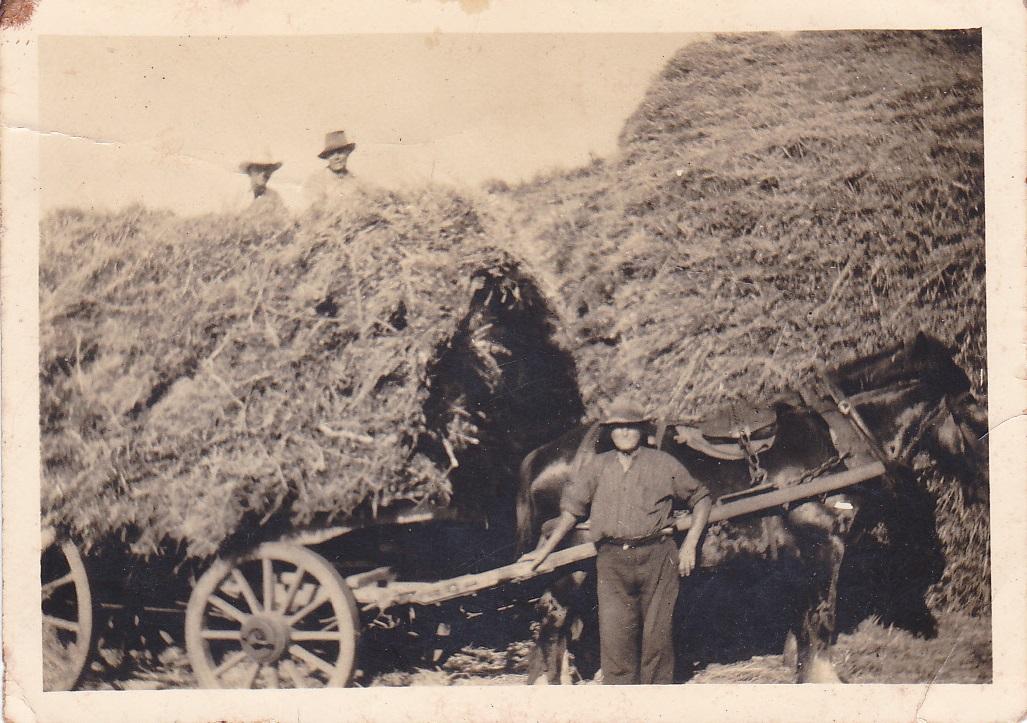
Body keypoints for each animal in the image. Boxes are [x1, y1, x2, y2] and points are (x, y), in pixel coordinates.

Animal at [517, 332, 990, 681]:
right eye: (974, 410)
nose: (987, 486)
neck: (837, 438)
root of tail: (541, 457)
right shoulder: (824, 543)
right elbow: (821, 617)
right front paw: (823, 678)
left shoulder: (799, 552)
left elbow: (802, 619)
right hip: (572, 568)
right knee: (553, 623)